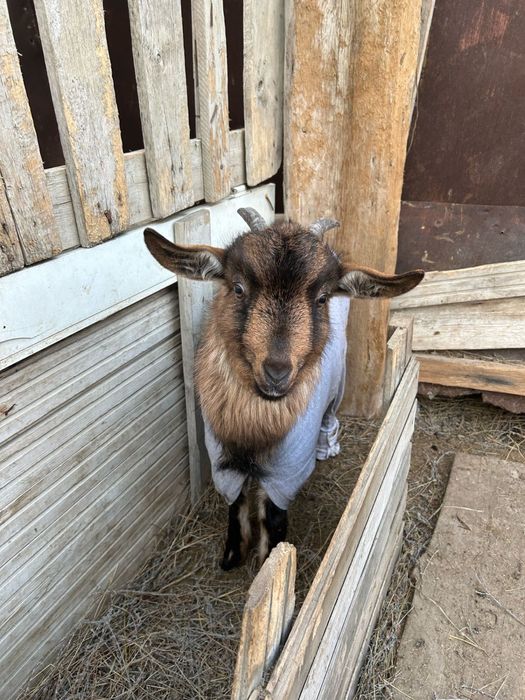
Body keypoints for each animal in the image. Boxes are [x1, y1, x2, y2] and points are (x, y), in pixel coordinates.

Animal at [144, 209, 423, 569]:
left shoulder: (287, 470)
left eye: (321, 298)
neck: (253, 431)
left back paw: (327, 448)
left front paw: (267, 560)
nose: (277, 371)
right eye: (237, 287)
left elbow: (274, 517)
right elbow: (235, 503)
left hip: (337, 384)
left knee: (330, 417)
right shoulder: (222, 460)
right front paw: (232, 556)